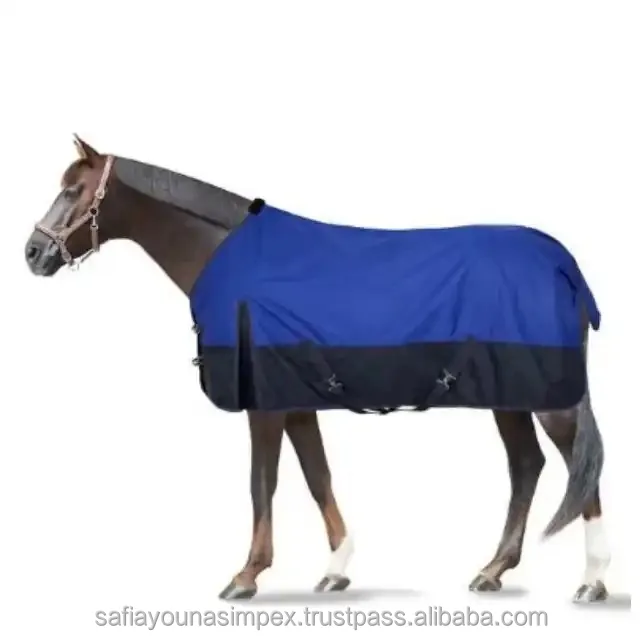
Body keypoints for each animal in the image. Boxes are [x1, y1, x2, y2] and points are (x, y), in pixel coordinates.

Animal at [24, 135, 610, 603]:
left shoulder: (262, 404)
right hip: (508, 396)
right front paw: (336, 568)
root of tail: (563, 265)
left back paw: (594, 580)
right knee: (528, 466)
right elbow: (316, 474)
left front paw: (246, 576)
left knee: (579, 467)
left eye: (75, 189)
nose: (32, 252)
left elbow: (262, 482)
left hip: (547, 398)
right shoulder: (296, 401)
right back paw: (493, 570)